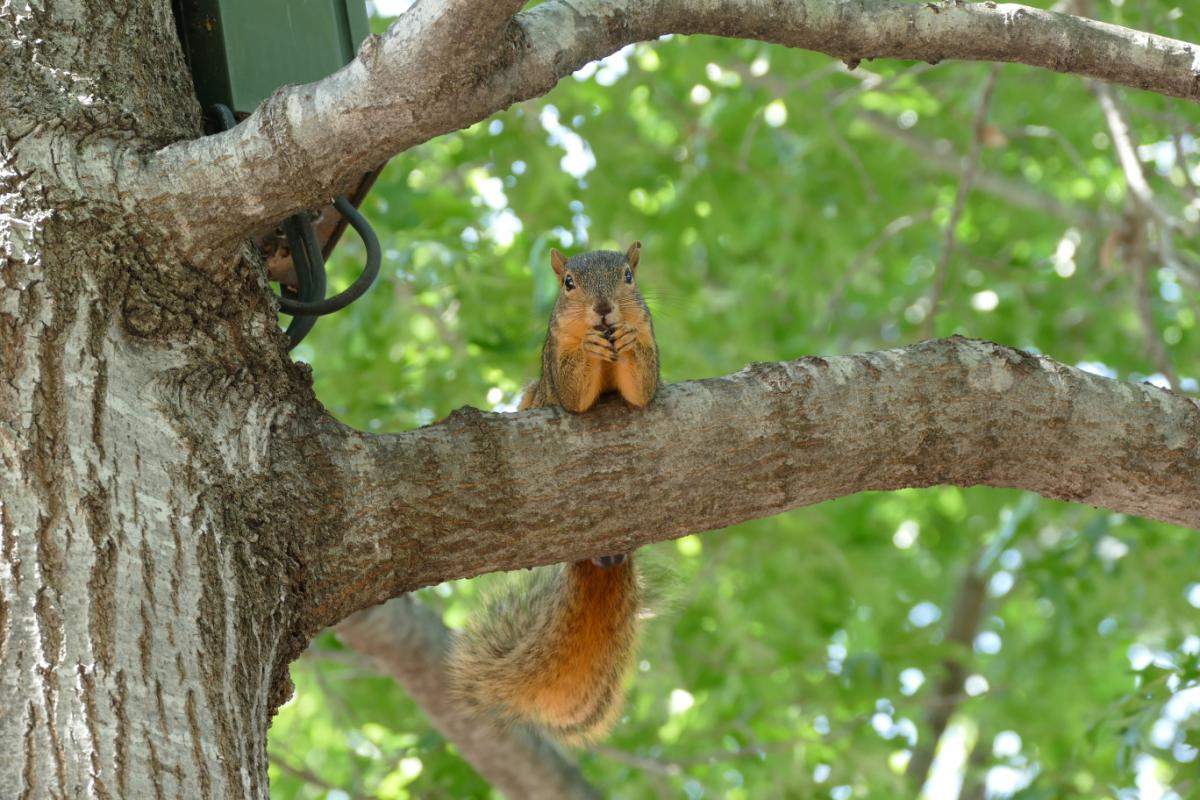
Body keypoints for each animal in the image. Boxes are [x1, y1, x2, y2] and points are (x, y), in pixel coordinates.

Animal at [448, 241, 662, 748]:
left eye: (628, 276)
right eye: (568, 284)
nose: (603, 309)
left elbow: (642, 390)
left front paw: (626, 339)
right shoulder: (556, 365)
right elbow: (572, 393)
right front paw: (588, 349)